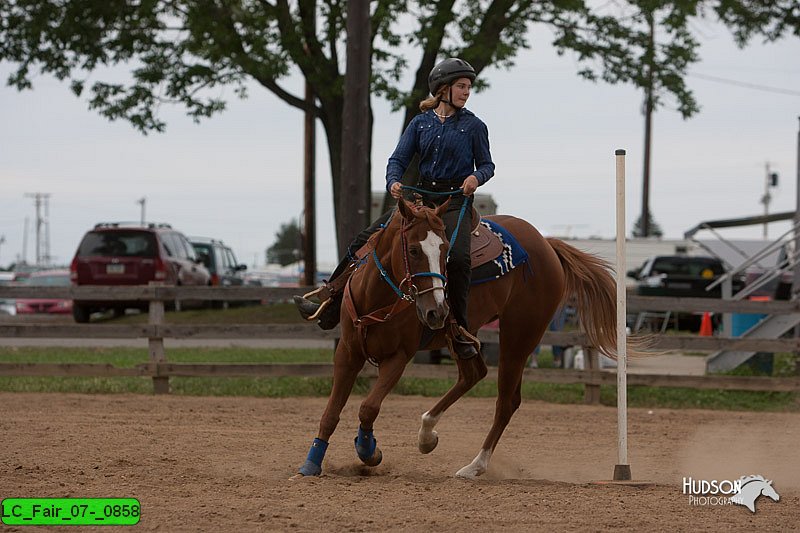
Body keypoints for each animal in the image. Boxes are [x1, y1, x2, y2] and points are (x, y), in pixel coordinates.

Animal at [296, 198, 616, 478]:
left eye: (445, 250)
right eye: (413, 250)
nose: (437, 311)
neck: (378, 296)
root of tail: (547, 244)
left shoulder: (399, 357)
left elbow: (368, 407)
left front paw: (369, 451)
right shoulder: (348, 352)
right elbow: (331, 412)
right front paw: (311, 464)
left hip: (519, 335)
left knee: (506, 402)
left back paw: (475, 466)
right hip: (463, 336)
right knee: (473, 374)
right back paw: (427, 435)